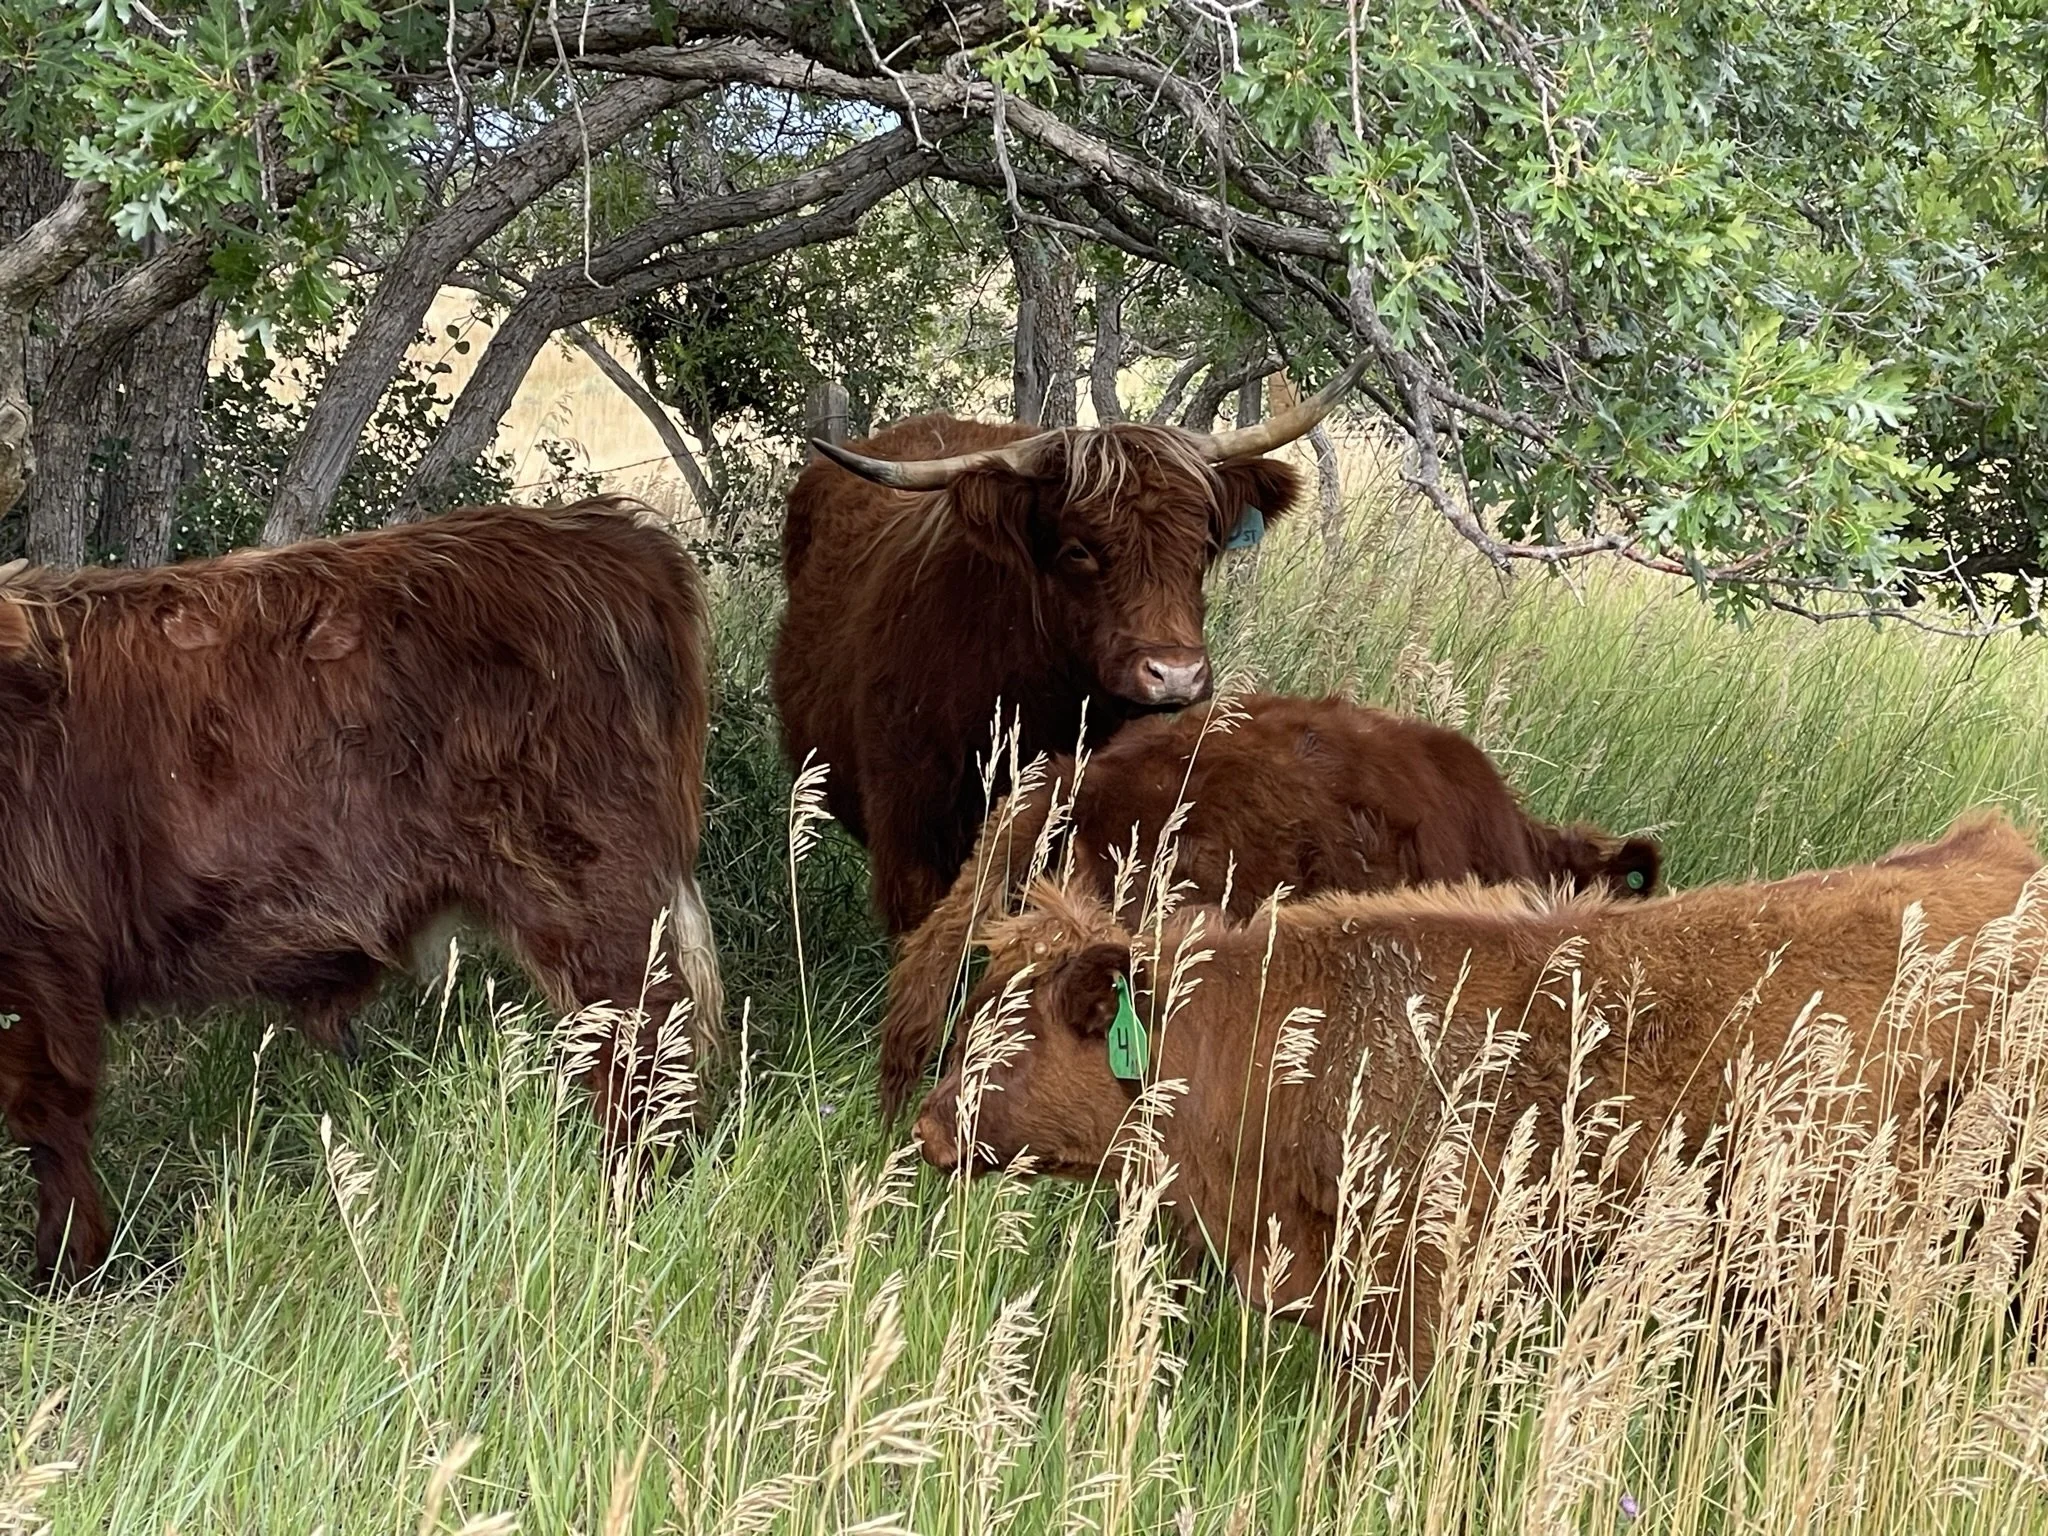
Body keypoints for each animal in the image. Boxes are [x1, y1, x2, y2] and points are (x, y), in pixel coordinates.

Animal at [0, 497, 721, 1282]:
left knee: (641, 1039)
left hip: (590, 884)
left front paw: (66, 1266)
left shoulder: (37, 963)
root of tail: (607, 532)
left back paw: (631, 1206)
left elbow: (48, 1118)